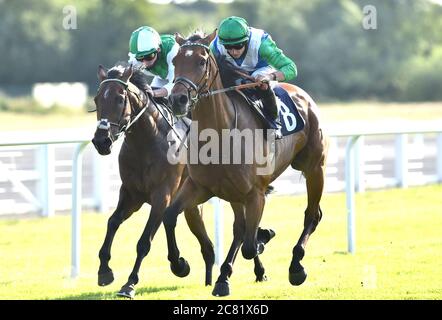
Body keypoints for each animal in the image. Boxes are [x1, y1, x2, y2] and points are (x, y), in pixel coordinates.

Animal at [163, 31, 328, 296]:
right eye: (175, 61)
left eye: (201, 61)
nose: (177, 99)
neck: (220, 135)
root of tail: (303, 95)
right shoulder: (200, 187)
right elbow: (169, 216)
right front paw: (180, 264)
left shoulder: (255, 194)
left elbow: (251, 245)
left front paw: (263, 238)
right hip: (234, 193)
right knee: (240, 229)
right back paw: (223, 277)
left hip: (314, 168)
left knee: (312, 215)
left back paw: (296, 266)